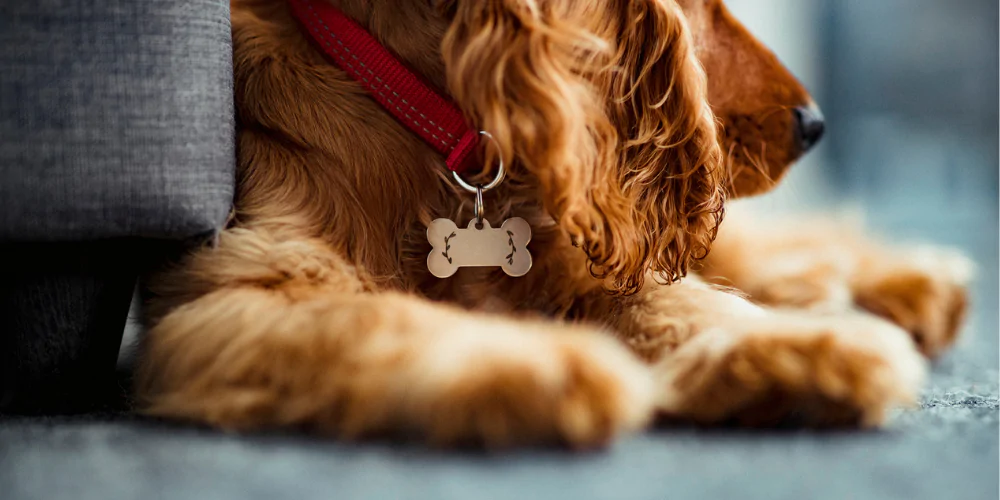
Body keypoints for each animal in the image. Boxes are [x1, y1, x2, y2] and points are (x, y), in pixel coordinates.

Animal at [137, 0, 972, 448]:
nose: (814, 123)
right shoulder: (238, 292)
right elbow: (375, 318)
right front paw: (544, 365)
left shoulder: (578, 254)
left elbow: (677, 299)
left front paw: (809, 349)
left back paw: (905, 286)